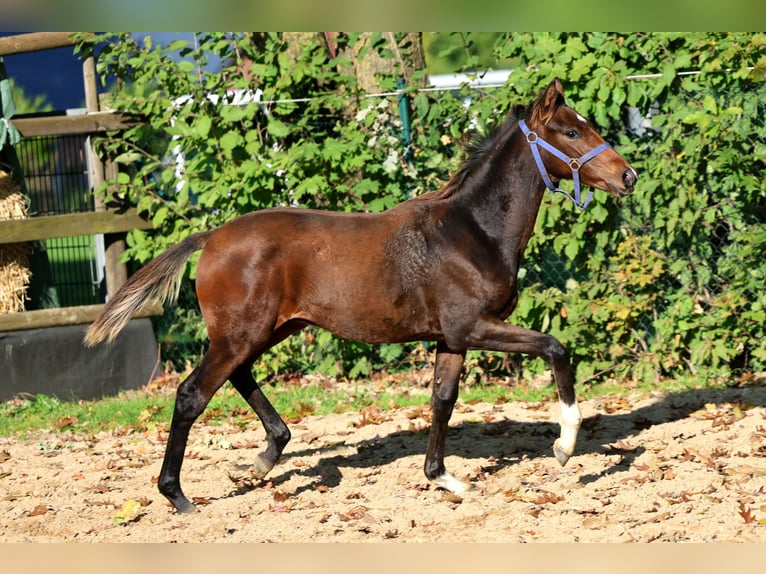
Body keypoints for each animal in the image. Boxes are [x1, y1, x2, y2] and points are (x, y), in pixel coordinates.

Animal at [85, 78, 637, 513]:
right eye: (571, 132)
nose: (626, 176)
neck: (472, 232)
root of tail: (211, 237)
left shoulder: (451, 338)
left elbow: (442, 399)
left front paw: (443, 478)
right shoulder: (474, 327)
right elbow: (555, 348)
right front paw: (565, 445)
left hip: (266, 329)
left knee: (238, 377)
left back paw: (263, 459)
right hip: (241, 333)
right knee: (192, 394)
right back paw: (178, 496)